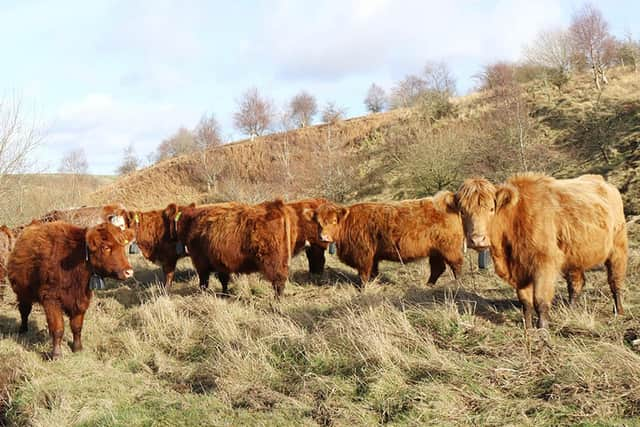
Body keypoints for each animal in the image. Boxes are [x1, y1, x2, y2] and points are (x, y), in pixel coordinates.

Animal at [7, 222, 135, 360]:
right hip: (22, 293)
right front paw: (56, 354)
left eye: (123, 246)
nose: (129, 271)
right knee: (24, 311)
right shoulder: (51, 299)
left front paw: (77, 348)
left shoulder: (81, 299)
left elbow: (77, 326)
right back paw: (23, 330)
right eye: (106, 247)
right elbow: (58, 328)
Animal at [165, 200, 296, 298]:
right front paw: (224, 294)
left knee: (279, 281)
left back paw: (277, 300)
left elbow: (204, 282)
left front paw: (203, 294)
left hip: (272, 261)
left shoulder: (201, 262)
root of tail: (276, 205)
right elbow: (223, 280)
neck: (191, 222)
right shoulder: (220, 263)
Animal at [306, 193, 464, 288]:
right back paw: (428, 285)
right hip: (435, 251)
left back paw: (458, 284)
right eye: (318, 222)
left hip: (449, 248)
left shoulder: (363, 255)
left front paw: (364, 289)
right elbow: (373, 272)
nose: (323, 237)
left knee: (456, 265)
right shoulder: (373, 257)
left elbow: (364, 274)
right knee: (438, 268)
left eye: (334, 221)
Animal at [456, 172, 632, 330]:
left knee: (615, 281)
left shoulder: (544, 262)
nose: (477, 239)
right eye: (462, 211)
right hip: (575, 256)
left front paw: (542, 330)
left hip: (618, 249)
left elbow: (540, 300)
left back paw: (619, 311)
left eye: (492, 209)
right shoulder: (520, 268)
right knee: (576, 284)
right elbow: (525, 301)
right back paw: (571, 310)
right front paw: (527, 327)